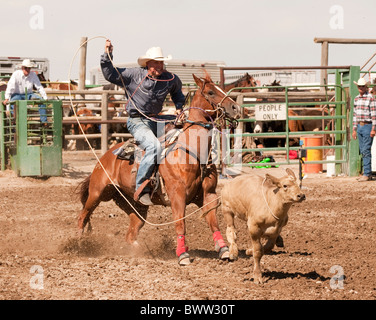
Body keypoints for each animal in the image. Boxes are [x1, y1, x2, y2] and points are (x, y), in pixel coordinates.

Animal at [76, 72, 241, 264]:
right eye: (210, 92)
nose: (236, 107)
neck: (191, 152)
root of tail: (104, 157)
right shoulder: (177, 196)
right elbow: (180, 224)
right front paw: (183, 254)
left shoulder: (209, 194)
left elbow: (213, 221)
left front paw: (223, 249)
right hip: (97, 193)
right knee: (82, 216)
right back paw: (77, 243)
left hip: (135, 206)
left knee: (130, 234)